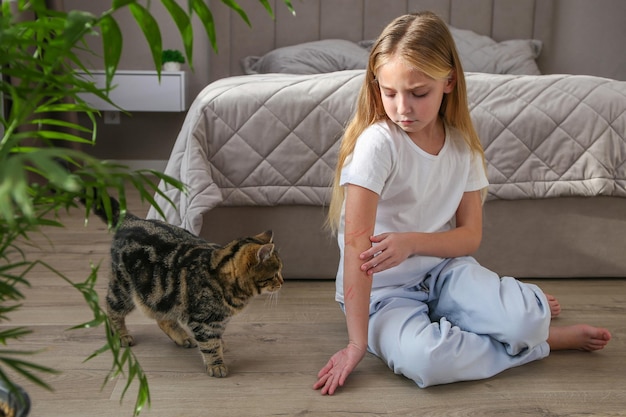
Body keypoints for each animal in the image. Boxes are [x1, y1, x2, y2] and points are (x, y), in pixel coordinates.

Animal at [88, 196, 282, 376]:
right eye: (275, 274)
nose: (281, 282)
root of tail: (132, 220)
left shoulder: (215, 320)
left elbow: (216, 339)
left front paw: (220, 346)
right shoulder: (203, 321)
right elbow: (210, 344)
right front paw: (216, 364)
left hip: (160, 293)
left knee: (162, 318)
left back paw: (182, 337)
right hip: (124, 289)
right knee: (112, 309)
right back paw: (121, 335)